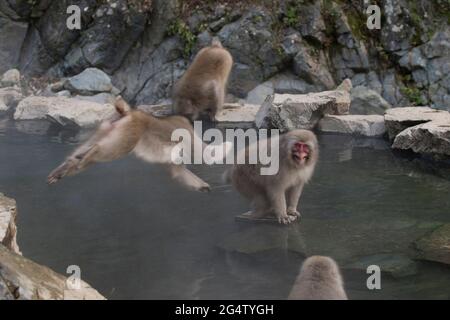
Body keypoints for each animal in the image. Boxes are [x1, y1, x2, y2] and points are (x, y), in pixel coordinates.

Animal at [46, 96, 212, 192]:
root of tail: (128, 113)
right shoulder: (190, 140)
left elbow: (178, 172)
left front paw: (203, 186)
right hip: (131, 132)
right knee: (109, 150)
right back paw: (92, 152)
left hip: (107, 128)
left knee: (87, 152)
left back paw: (67, 166)